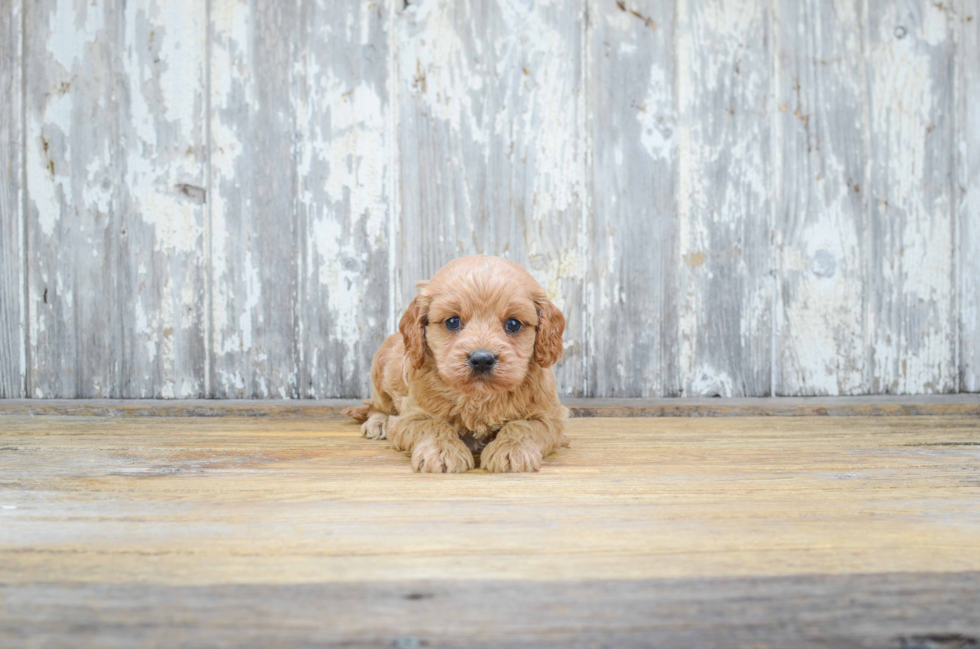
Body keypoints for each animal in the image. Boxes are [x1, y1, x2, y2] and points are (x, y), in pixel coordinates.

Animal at [346, 256, 572, 474]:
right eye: (453, 322)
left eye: (513, 324)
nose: (482, 360)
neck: (477, 395)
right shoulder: (410, 416)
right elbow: (432, 424)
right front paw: (441, 451)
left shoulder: (551, 417)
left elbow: (523, 426)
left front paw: (511, 450)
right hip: (380, 369)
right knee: (377, 406)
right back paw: (377, 423)